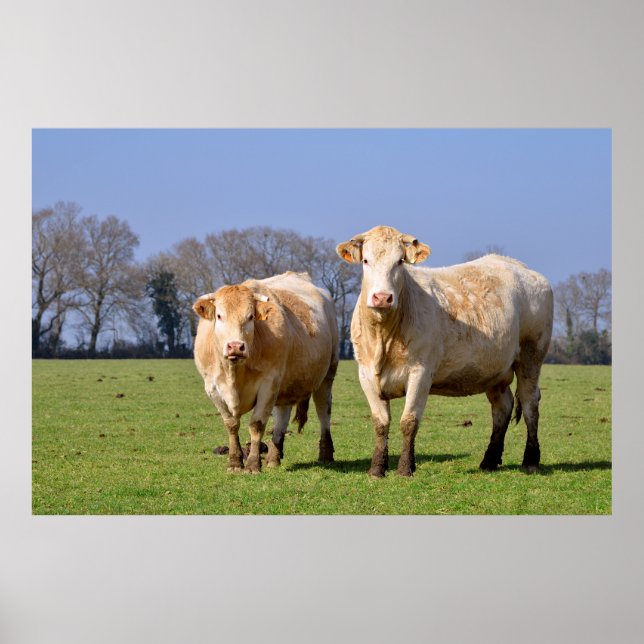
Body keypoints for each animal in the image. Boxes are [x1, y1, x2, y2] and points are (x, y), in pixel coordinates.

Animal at [192, 271, 338, 473]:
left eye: (251, 316)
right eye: (219, 316)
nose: (235, 346)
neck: (234, 373)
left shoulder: (268, 383)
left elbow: (257, 424)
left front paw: (253, 464)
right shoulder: (212, 387)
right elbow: (231, 424)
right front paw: (235, 462)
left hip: (327, 374)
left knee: (323, 411)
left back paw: (325, 454)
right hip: (286, 385)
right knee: (282, 416)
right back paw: (273, 457)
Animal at [337, 225, 553, 478]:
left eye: (400, 261)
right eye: (366, 260)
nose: (382, 297)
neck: (384, 338)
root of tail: (521, 267)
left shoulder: (421, 373)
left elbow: (408, 421)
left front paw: (405, 468)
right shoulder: (366, 374)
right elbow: (380, 423)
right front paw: (377, 469)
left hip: (531, 356)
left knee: (529, 403)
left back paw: (530, 460)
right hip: (496, 370)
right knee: (502, 407)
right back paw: (489, 460)